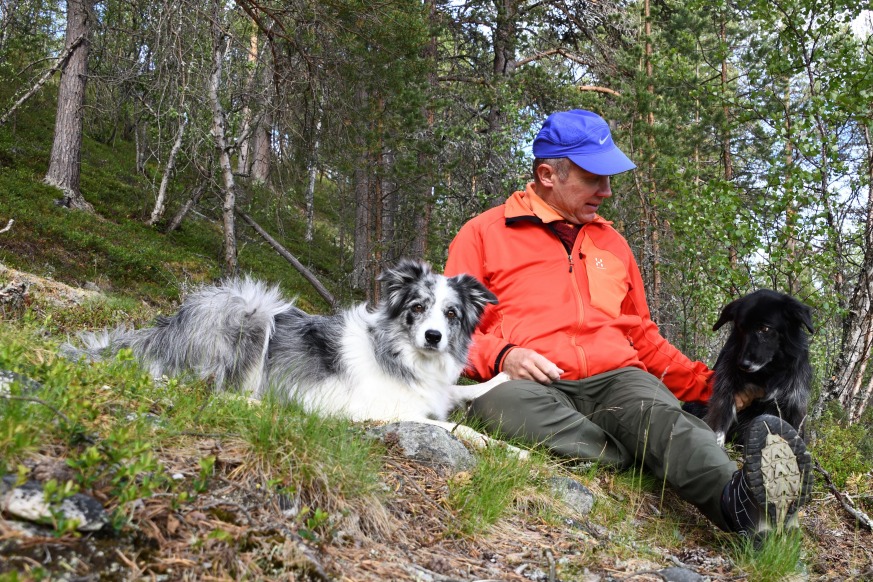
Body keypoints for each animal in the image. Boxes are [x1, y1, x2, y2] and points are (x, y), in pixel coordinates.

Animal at [62, 260, 519, 452]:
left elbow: (464, 393)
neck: (404, 353)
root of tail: (165, 326)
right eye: (418, 307)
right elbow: (459, 429)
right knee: (204, 388)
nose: (433, 337)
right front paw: (514, 452)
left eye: (451, 313)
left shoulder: (437, 391)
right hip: (251, 308)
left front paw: (505, 376)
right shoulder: (386, 413)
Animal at [705, 289, 814, 446]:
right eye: (740, 328)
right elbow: (718, 429)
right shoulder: (725, 391)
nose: (743, 364)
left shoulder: (795, 402)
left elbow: (797, 432)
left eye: (764, 328)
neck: (767, 372)